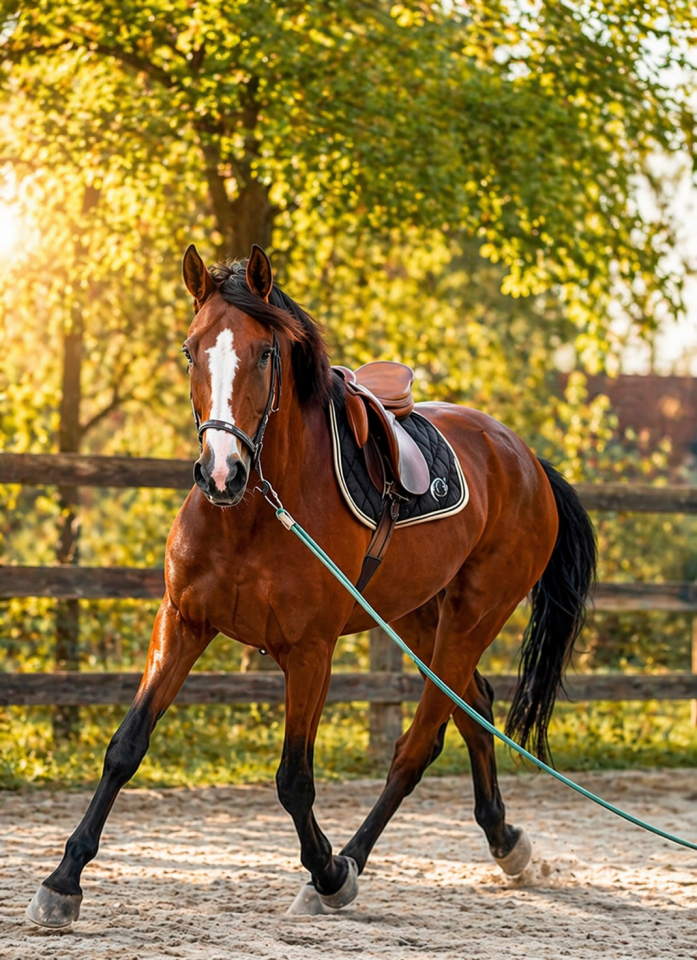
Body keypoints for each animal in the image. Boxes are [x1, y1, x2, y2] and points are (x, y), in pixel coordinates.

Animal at [27, 243, 596, 928]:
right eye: (191, 350)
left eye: (265, 354)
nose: (221, 471)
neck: (251, 514)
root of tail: (527, 461)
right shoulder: (183, 622)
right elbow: (125, 747)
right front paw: (62, 881)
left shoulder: (309, 652)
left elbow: (293, 779)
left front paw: (326, 873)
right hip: (416, 616)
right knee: (474, 707)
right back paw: (506, 842)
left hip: (472, 618)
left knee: (416, 747)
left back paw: (352, 861)